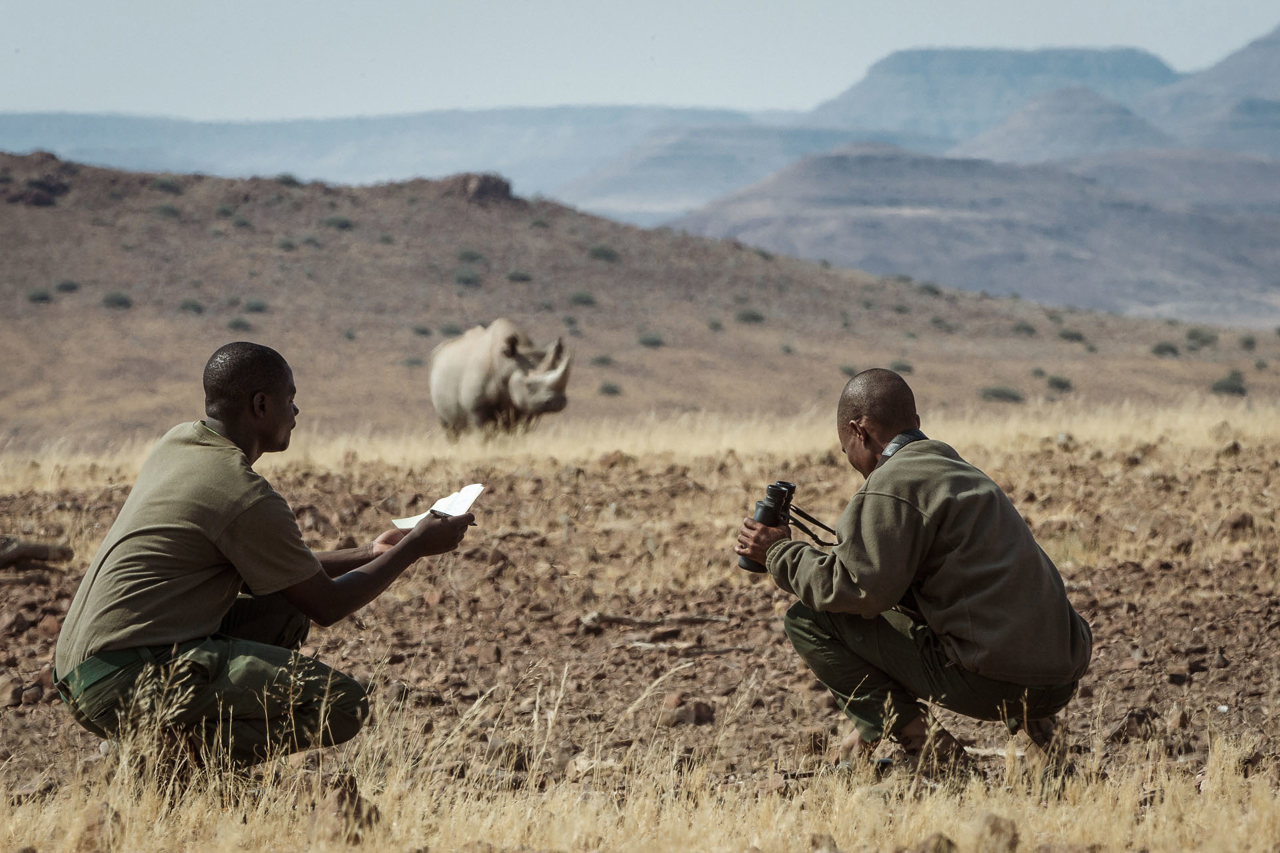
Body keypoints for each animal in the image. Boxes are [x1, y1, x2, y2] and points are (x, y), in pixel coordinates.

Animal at [428, 318, 572, 435]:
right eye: (529, 385)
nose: (558, 402)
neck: (506, 364)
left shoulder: (524, 406)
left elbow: (516, 433)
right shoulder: (475, 409)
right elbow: (482, 434)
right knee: (450, 429)